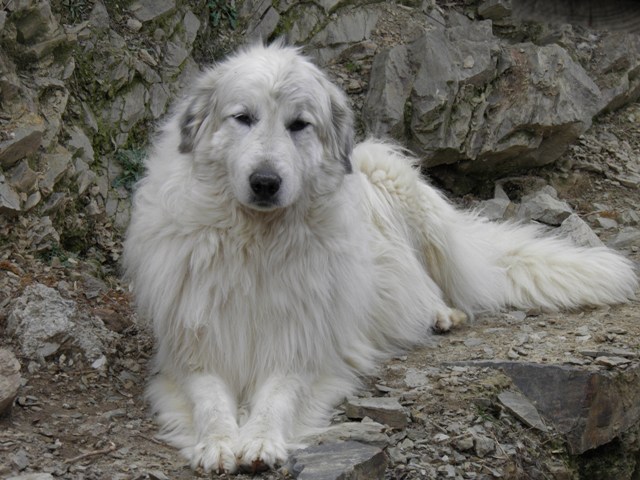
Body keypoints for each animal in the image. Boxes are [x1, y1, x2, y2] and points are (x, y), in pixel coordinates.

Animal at [122, 41, 636, 472]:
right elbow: (210, 400)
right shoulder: (193, 352)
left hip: (392, 177)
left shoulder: (304, 351)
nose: (265, 182)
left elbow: (277, 399)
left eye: (299, 124)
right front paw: (218, 442)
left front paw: (262, 440)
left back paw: (441, 314)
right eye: (242, 117)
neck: (257, 243)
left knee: (438, 281)